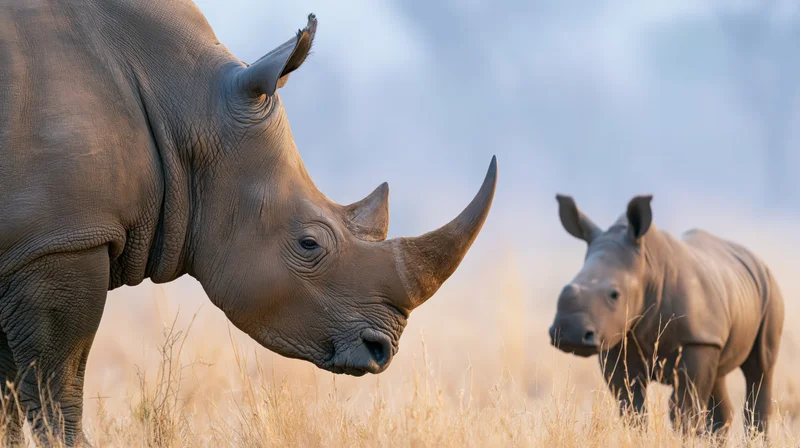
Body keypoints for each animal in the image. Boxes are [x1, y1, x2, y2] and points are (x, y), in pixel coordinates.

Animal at [0, 3, 497, 446]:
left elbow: (10, 394)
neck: (187, 105)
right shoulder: (60, 240)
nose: (382, 349)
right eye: (310, 244)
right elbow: (59, 383)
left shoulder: (27, 246)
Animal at [549, 195, 784, 435]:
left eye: (614, 294)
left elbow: (684, 409)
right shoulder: (616, 340)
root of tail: (757, 260)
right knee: (718, 379)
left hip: (769, 290)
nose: (569, 334)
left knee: (760, 368)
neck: (646, 269)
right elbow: (631, 406)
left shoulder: (697, 340)